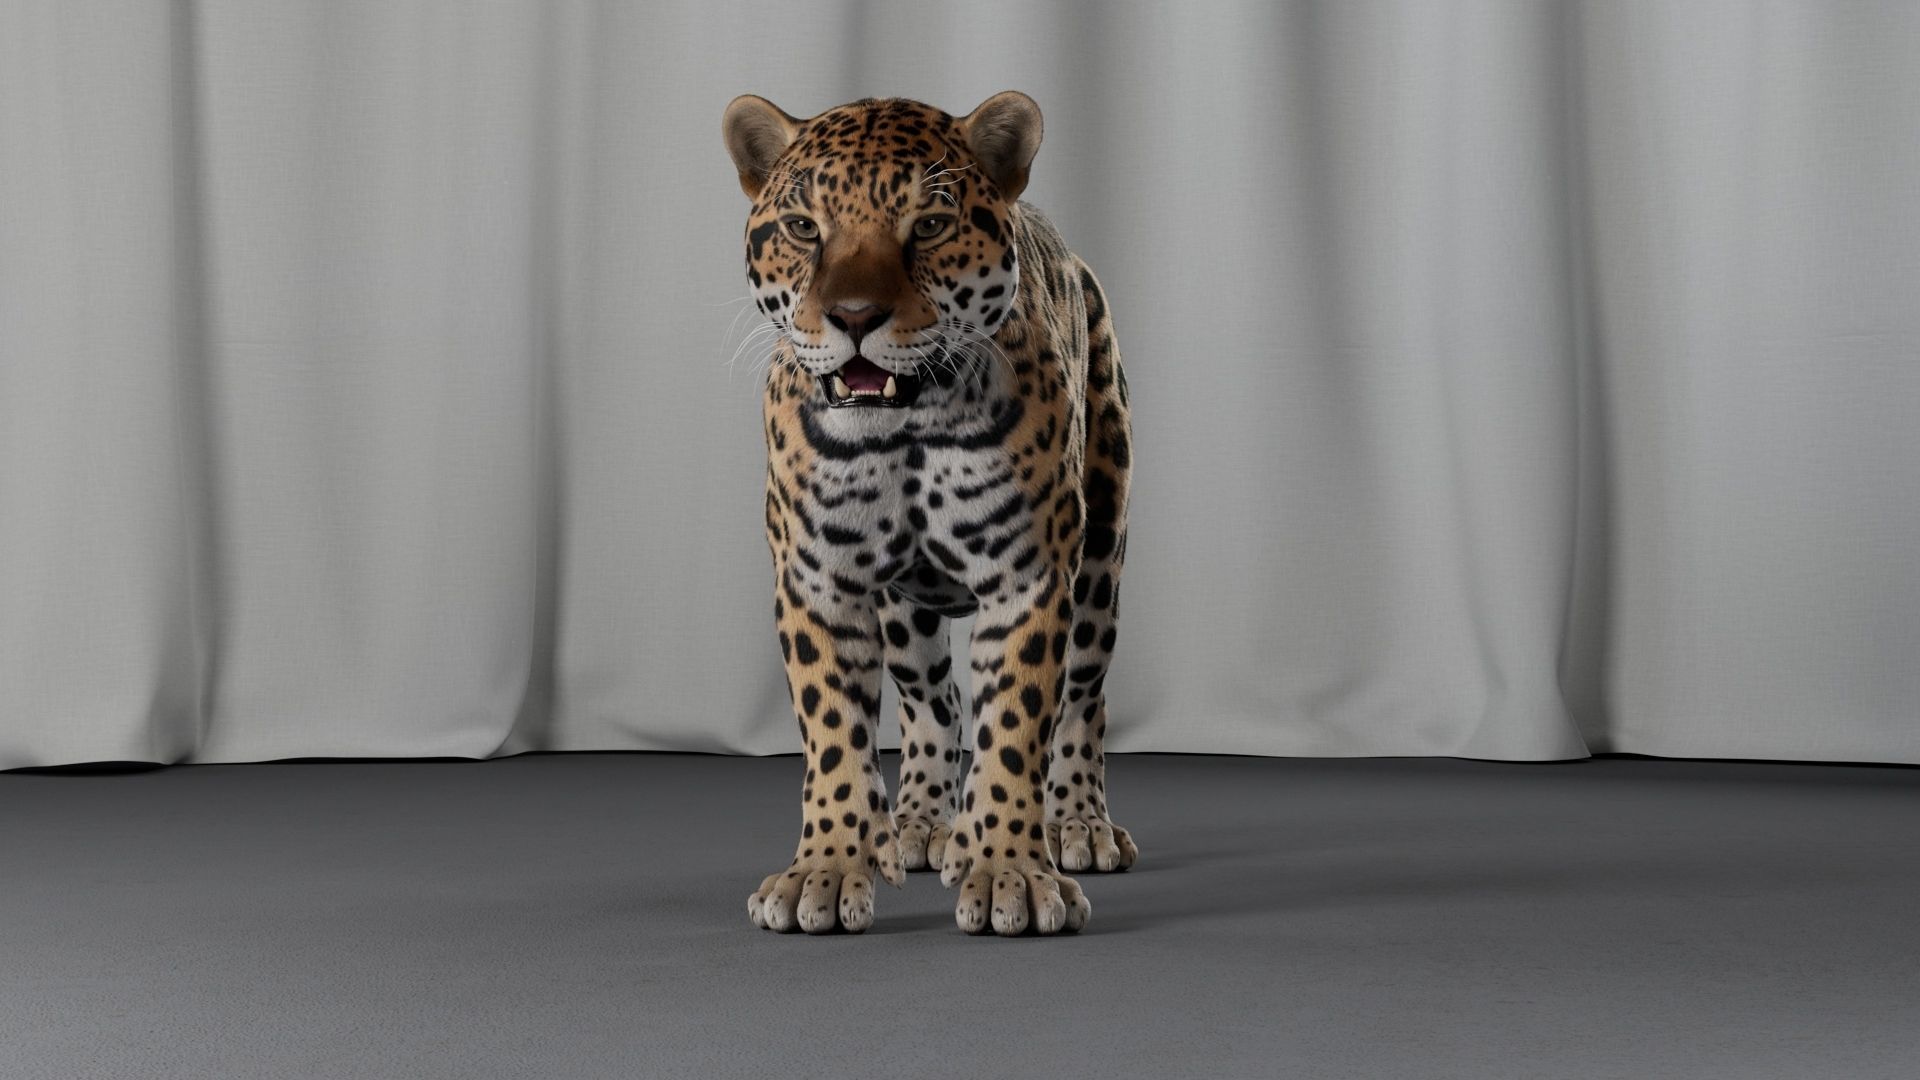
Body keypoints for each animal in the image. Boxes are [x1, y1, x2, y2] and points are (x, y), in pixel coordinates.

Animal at [723, 91, 1136, 936]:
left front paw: (1010, 871)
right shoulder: (819, 580)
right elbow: (835, 736)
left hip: (1101, 557)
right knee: (932, 702)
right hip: (905, 614)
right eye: (804, 227)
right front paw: (825, 870)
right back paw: (919, 825)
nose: (854, 315)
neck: (904, 426)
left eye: (931, 225)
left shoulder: (1029, 577)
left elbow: (1015, 727)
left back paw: (1075, 823)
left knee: (1082, 697)